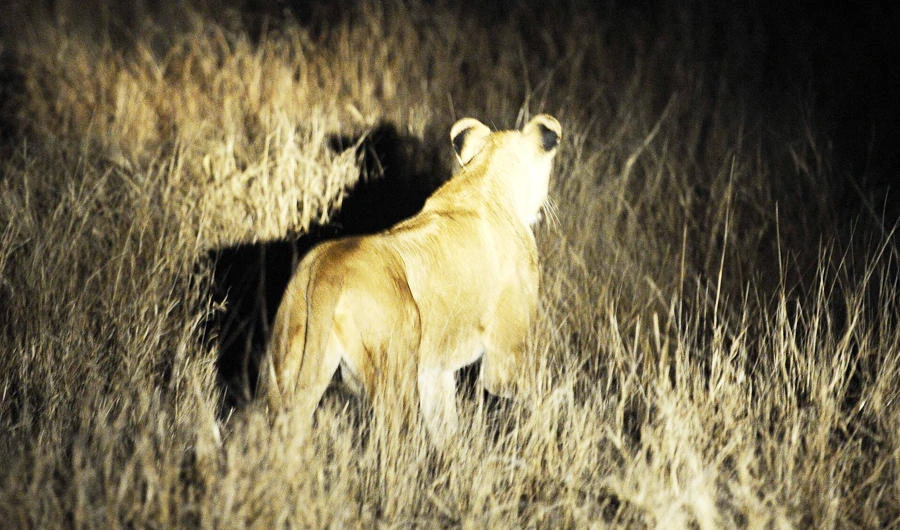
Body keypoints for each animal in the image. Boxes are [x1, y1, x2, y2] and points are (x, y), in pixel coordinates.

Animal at [262, 114, 562, 447]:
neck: (484, 177)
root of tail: (328, 269)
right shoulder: (505, 358)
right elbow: (537, 392)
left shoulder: (435, 370)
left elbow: (445, 424)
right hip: (396, 369)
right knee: (393, 438)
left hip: (287, 367)